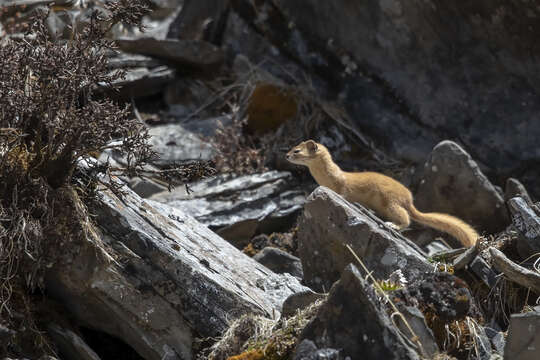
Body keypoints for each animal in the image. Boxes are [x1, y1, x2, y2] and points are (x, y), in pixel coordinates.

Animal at [286, 139, 476, 246]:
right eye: (293, 147)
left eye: (296, 151)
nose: (286, 155)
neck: (327, 179)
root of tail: (409, 199)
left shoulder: (344, 186)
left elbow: (344, 193)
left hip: (390, 201)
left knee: (406, 218)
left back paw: (393, 225)